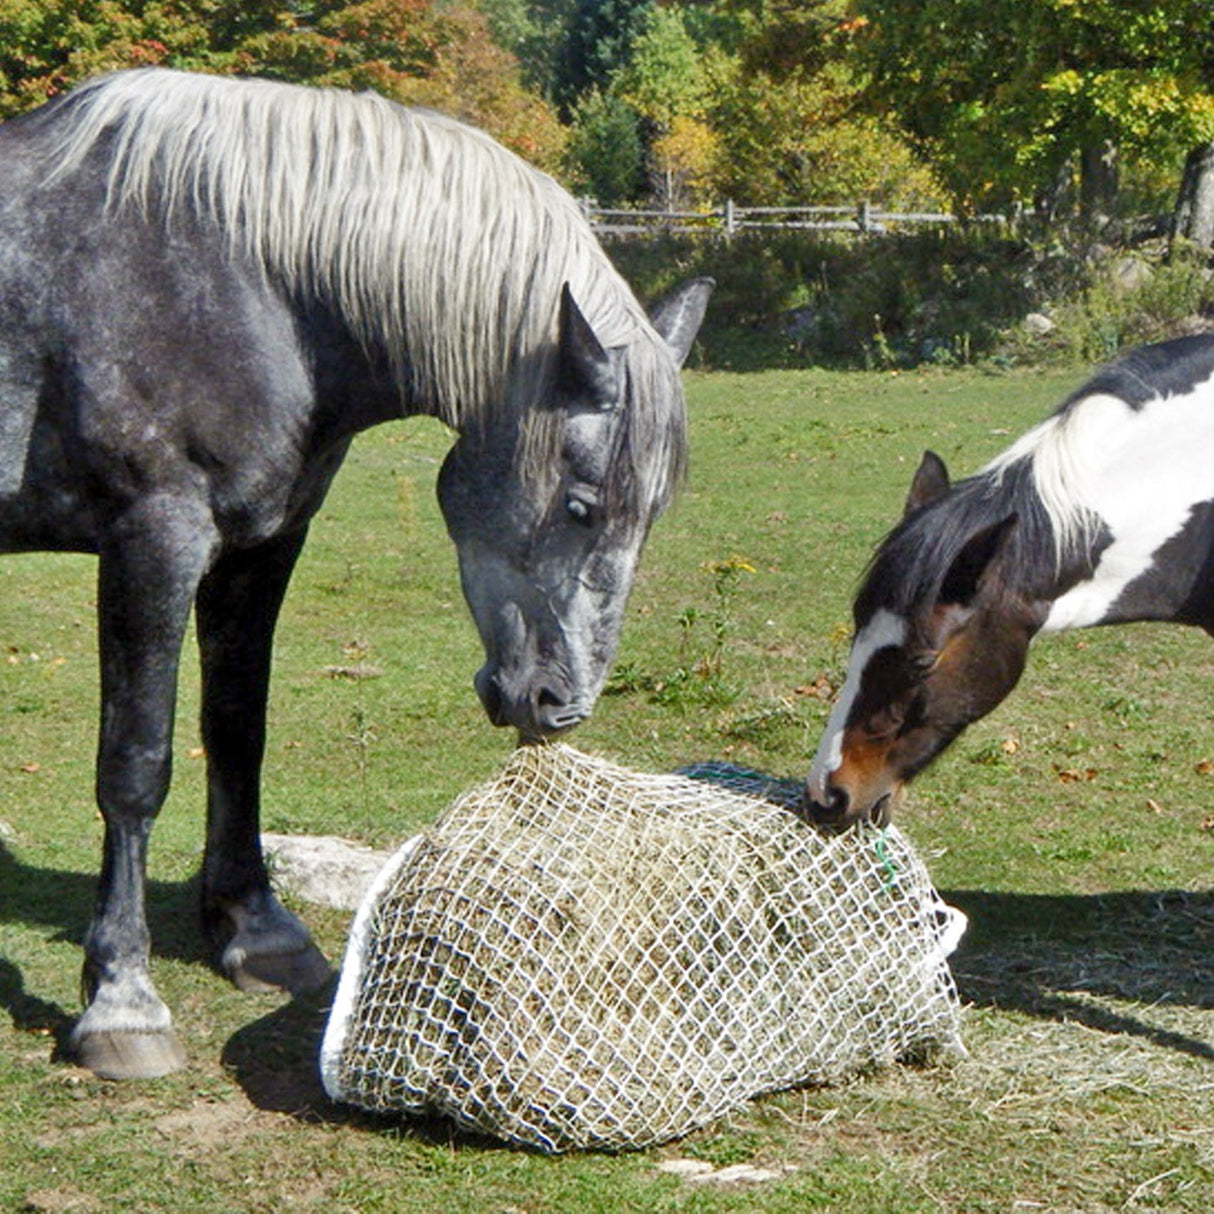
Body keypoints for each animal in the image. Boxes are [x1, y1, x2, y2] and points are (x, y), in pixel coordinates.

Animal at [0, 71, 708, 1078]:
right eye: (580, 505)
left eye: (649, 516)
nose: (557, 705)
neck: (254, 279)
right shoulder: (154, 540)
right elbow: (135, 766)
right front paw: (122, 1001)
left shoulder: (260, 546)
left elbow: (237, 730)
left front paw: (255, 931)